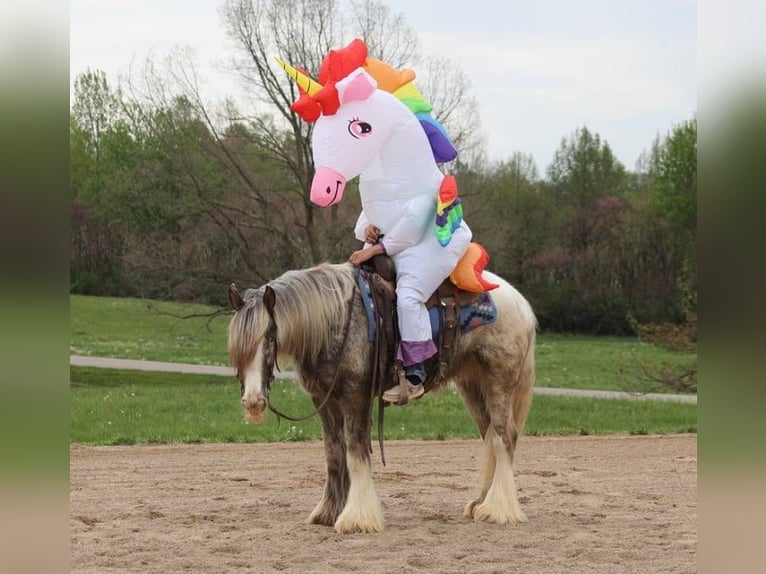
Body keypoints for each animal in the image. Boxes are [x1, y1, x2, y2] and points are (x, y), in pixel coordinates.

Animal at [231, 262, 536, 536]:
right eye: (236, 348)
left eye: (270, 339)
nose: (253, 401)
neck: (334, 321)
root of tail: (521, 303)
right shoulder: (324, 400)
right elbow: (334, 454)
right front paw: (328, 512)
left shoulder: (355, 396)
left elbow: (355, 453)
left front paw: (357, 518)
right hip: (472, 387)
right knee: (490, 437)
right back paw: (481, 502)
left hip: (498, 383)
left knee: (503, 437)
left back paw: (498, 509)